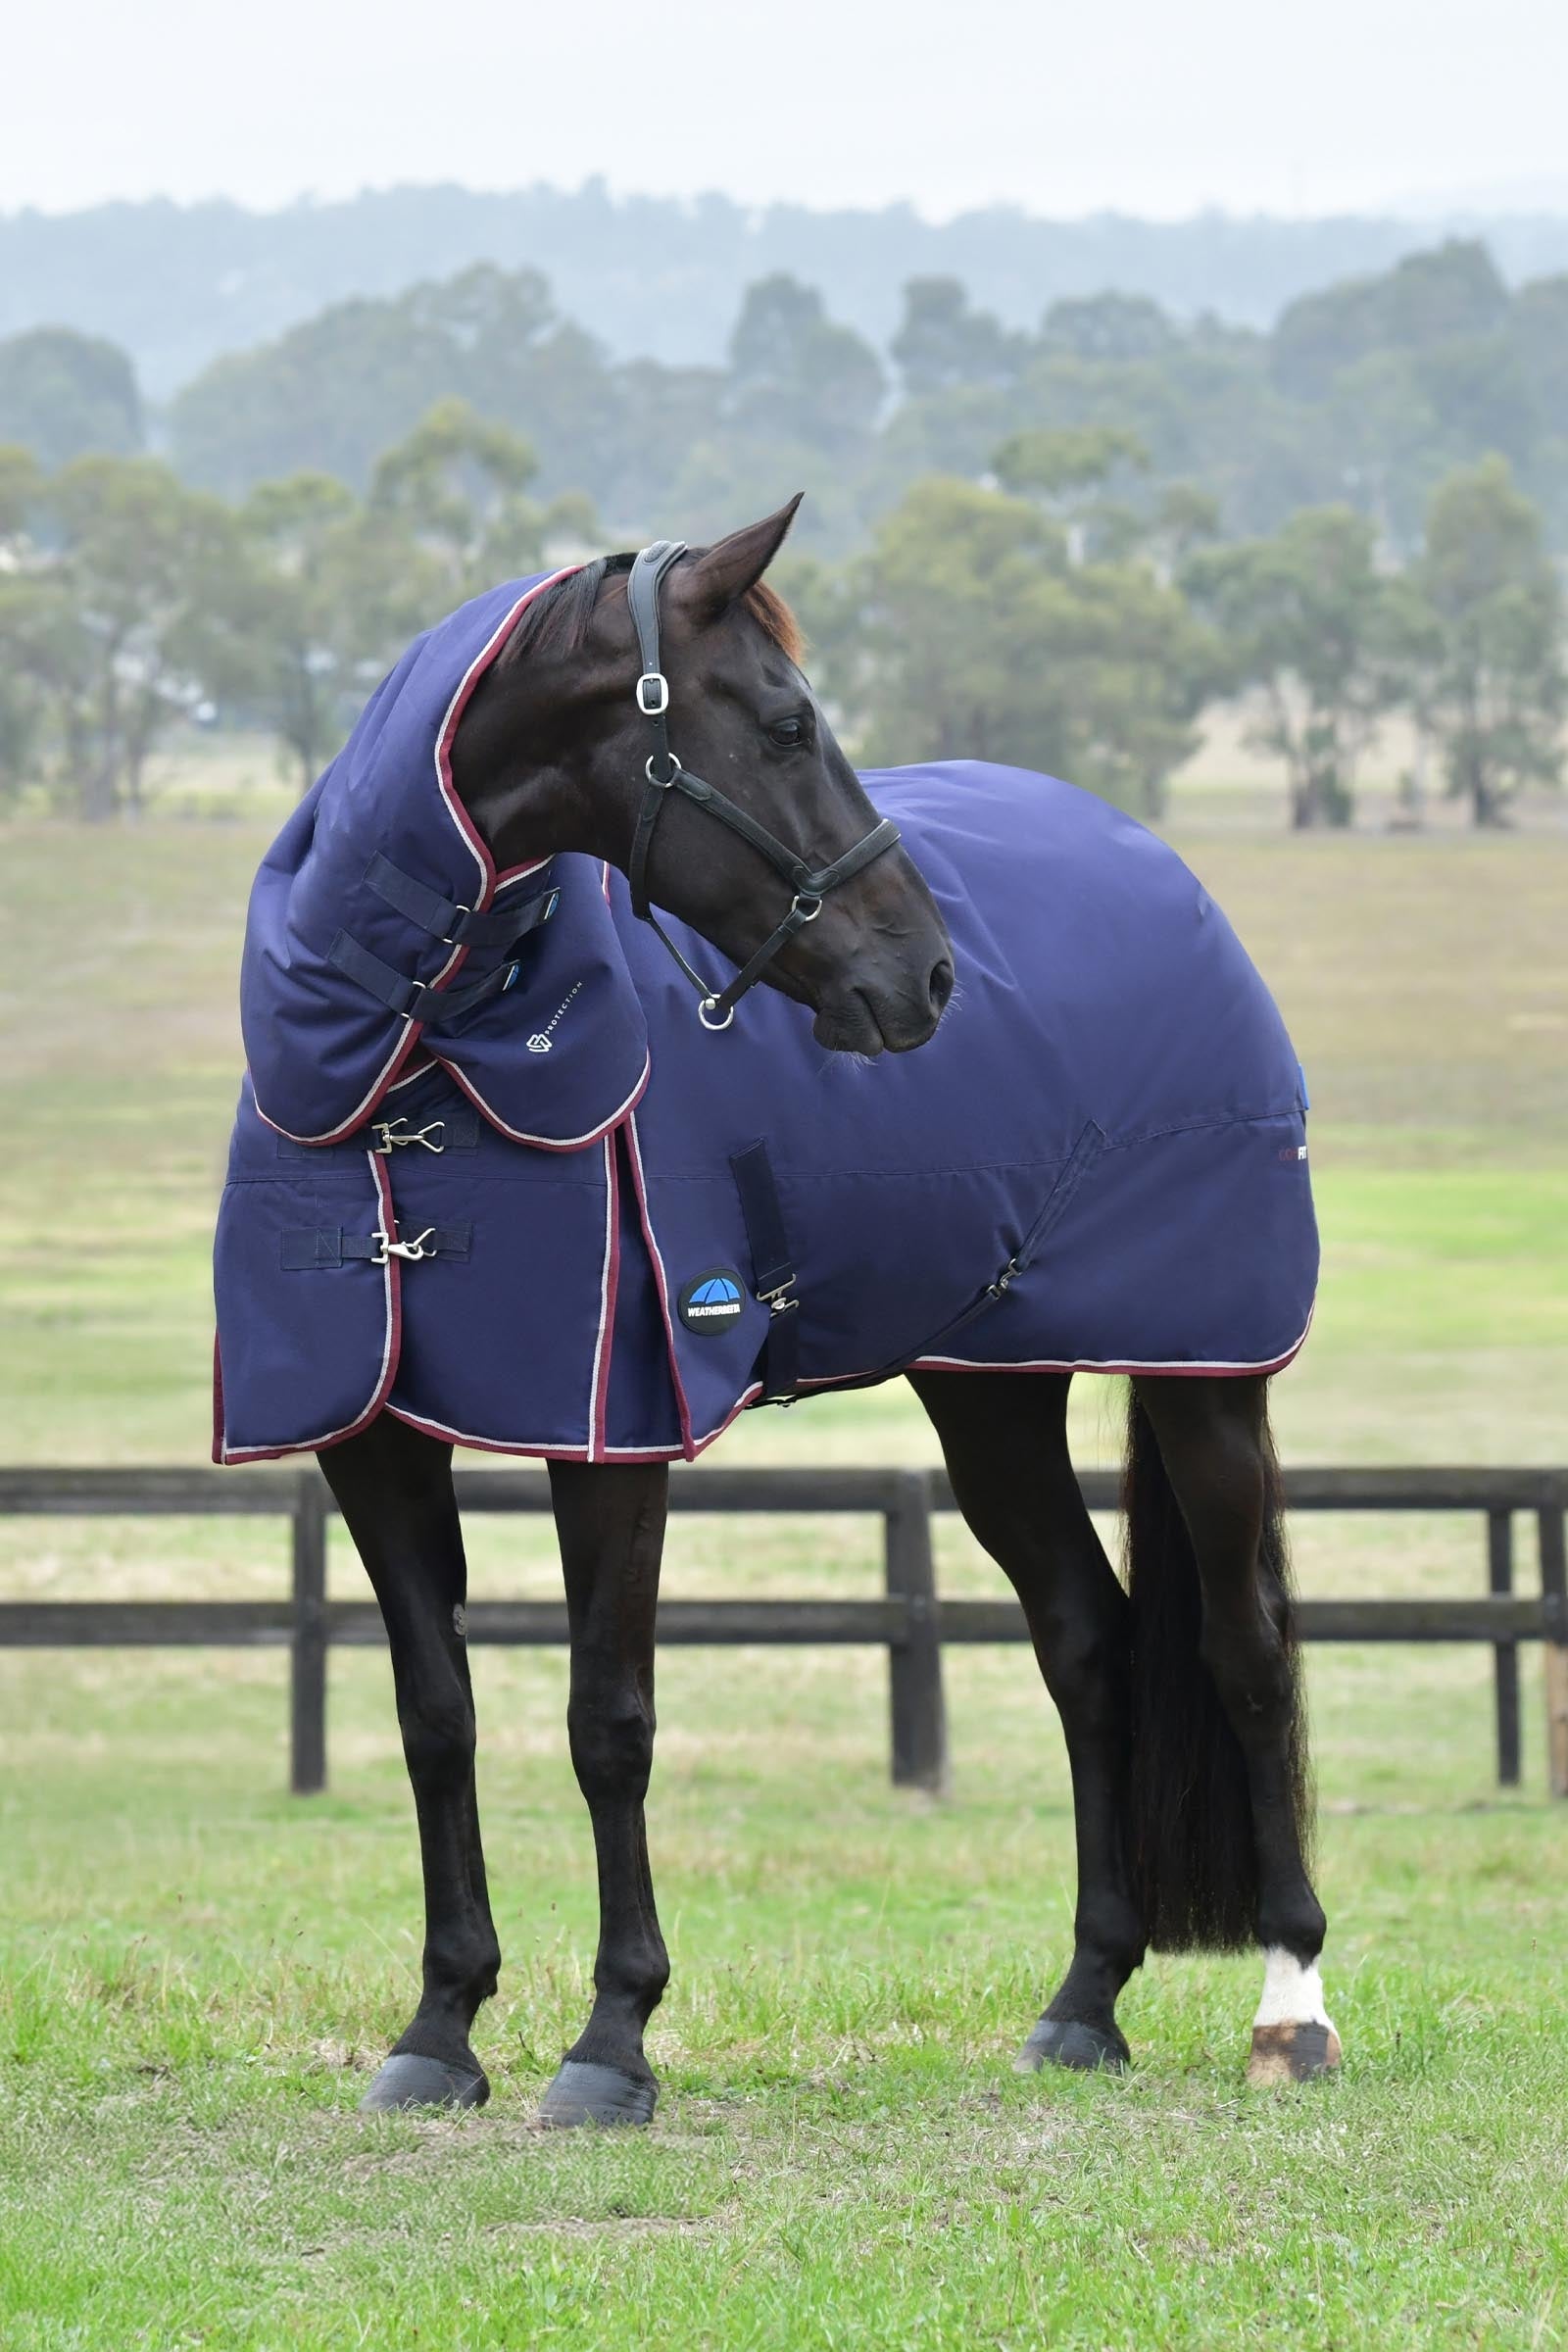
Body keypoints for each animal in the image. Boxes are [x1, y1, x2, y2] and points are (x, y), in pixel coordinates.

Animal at [213, 498, 1335, 2126]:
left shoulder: (610, 1436)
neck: (420, 1063)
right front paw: (439, 2027)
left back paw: (1292, 2005)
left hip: (1204, 1371)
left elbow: (607, 1723)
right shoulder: (370, 1438)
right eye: (789, 722)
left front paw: (611, 2040)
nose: (927, 974)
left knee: (1247, 1650)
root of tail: (1156, 865)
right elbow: (438, 1715)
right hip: (990, 1388)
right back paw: (1083, 2002)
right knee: (1088, 1639)